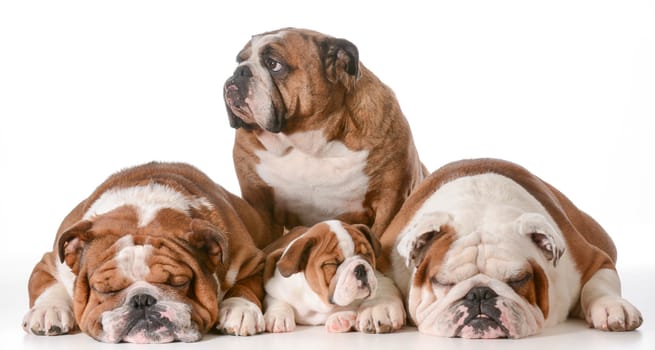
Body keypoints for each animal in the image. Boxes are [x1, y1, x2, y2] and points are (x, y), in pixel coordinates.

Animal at [23, 163, 270, 344]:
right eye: (104, 288)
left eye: (179, 282)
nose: (142, 300)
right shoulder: (51, 262)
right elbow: (46, 285)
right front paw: (48, 311)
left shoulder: (253, 261)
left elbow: (246, 285)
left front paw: (240, 310)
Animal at [223, 27, 428, 241]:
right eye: (239, 61)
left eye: (273, 64)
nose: (240, 71)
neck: (306, 142)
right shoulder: (259, 203)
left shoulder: (390, 199)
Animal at [264, 220, 408, 332]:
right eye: (331, 263)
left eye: (367, 254)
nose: (360, 268)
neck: (320, 302)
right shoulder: (273, 288)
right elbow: (276, 300)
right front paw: (278, 316)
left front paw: (341, 318)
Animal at [382, 159, 644, 340]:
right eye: (443, 282)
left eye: (519, 279)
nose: (480, 293)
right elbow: (384, 282)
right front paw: (382, 310)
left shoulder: (594, 260)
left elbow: (599, 284)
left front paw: (613, 307)